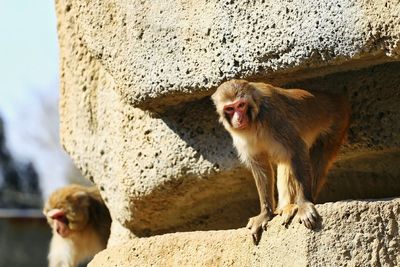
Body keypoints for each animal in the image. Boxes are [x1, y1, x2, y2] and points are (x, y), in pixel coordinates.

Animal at [212, 79, 350, 243]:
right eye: (230, 109)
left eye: (241, 105)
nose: (238, 119)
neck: (254, 121)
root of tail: (335, 98)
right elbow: (261, 166)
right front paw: (265, 213)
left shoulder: (273, 116)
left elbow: (297, 149)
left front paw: (304, 204)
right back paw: (285, 207)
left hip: (338, 124)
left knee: (316, 158)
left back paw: (296, 204)